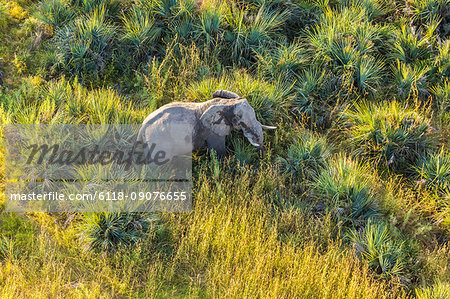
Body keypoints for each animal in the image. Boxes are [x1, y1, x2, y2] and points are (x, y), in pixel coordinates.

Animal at [136, 89, 278, 162]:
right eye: (238, 120)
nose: (261, 157)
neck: (225, 103)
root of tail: (143, 128)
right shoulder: (212, 132)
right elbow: (219, 153)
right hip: (159, 142)